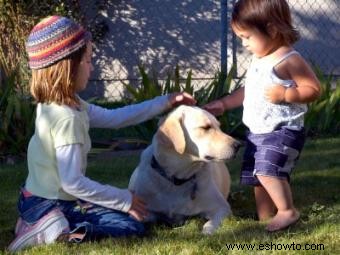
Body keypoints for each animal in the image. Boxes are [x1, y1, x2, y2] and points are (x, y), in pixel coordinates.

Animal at [129, 104, 240, 234]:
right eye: (206, 127)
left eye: (219, 127)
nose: (238, 145)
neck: (176, 180)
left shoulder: (222, 207)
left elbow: (209, 224)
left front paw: (207, 230)